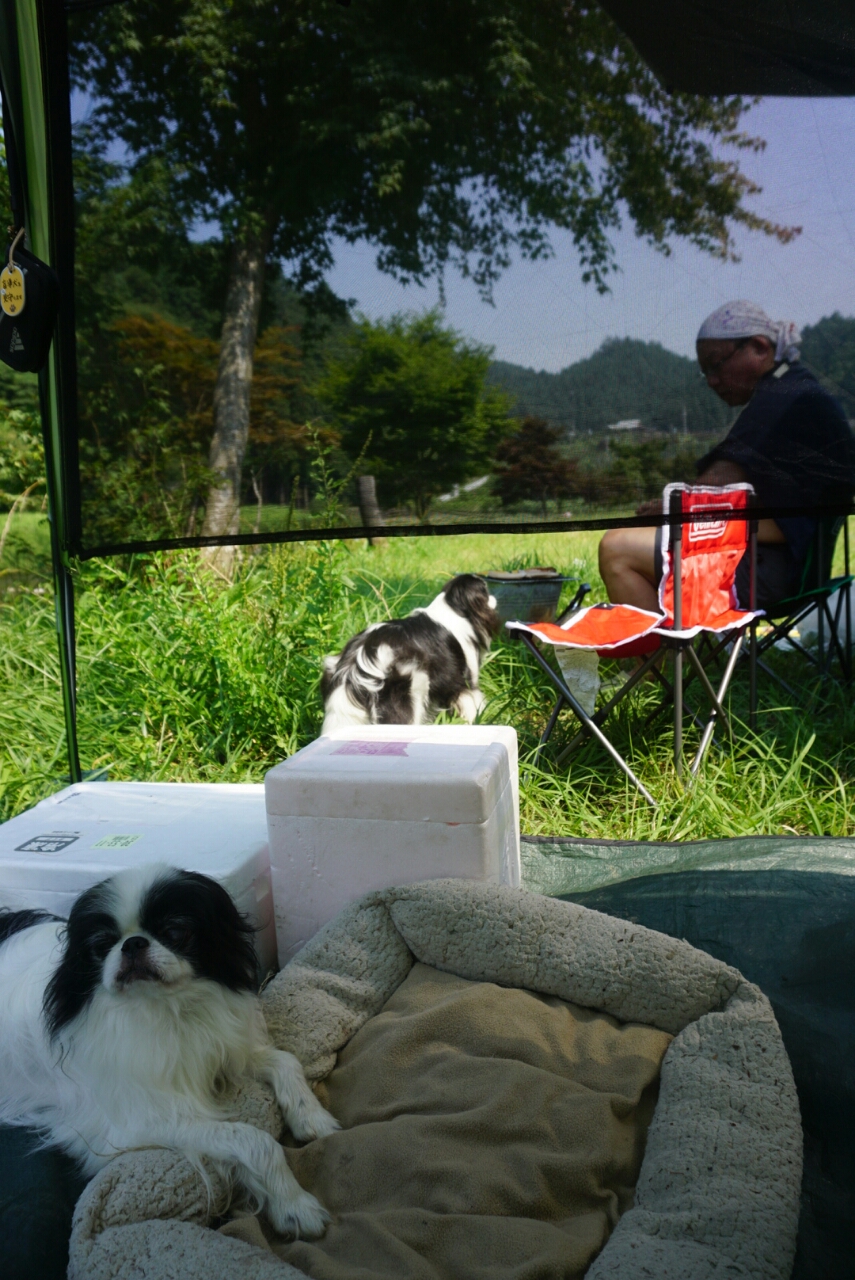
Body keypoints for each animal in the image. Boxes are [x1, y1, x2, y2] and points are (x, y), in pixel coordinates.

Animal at [0, 864, 339, 1238]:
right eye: (101, 945)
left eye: (175, 931)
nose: (132, 943)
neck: (167, 1009)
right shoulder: (141, 1122)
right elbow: (255, 1141)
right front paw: (294, 1206)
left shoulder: (223, 1051)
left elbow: (285, 1061)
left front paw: (312, 1117)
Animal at [321, 573, 500, 733]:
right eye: (485, 589)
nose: (494, 597)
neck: (452, 608)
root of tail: (358, 660)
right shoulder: (465, 683)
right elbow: (472, 707)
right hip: (408, 692)